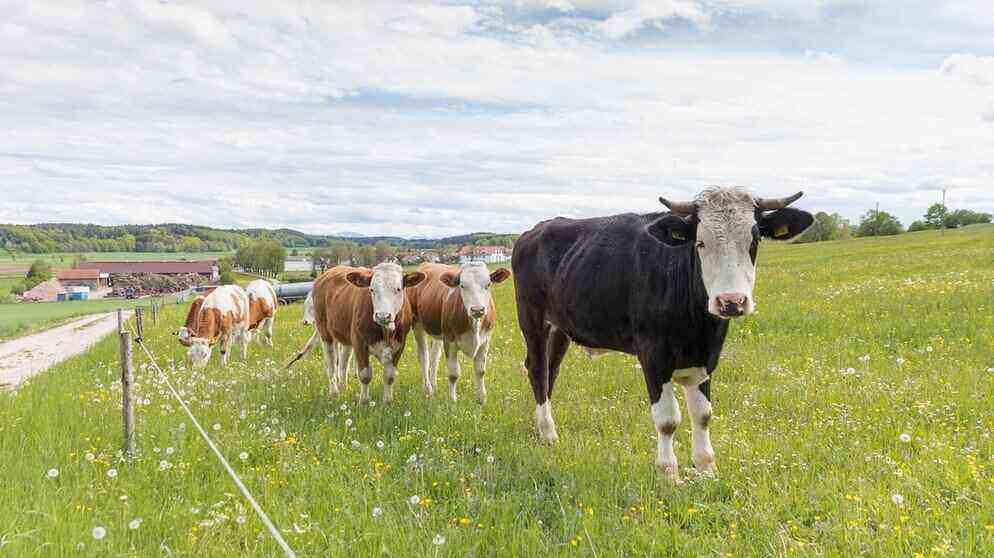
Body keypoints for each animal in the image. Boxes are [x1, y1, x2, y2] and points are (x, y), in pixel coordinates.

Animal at [306, 264, 422, 404]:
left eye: (398, 289)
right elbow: (365, 374)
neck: (385, 332)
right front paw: (364, 402)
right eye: (372, 289)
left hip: (346, 338)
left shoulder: (399, 345)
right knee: (331, 364)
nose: (382, 316)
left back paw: (343, 388)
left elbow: (389, 375)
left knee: (343, 363)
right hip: (325, 332)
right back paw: (334, 392)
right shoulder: (359, 342)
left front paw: (387, 402)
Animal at [406, 262, 512, 402]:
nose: (477, 309)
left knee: (435, 357)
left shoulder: (485, 341)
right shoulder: (449, 340)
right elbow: (453, 373)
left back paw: (434, 385)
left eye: (488, 284)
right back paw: (428, 389)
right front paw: (452, 400)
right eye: (462, 285)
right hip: (417, 324)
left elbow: (480, 371)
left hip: (438, 332)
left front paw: (481, 399)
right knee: (424, 356)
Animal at [512, 188, 812, 482]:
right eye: (700, 243)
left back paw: (540, 426)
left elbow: (702, 414)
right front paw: (668, 472)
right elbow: (667, 419)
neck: (697, 327)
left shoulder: (705, 357)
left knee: (550, 371)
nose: (731, 301)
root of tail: (534, 231)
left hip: (561, 328)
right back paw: (548, 432)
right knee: (537, 369)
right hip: (532, 317)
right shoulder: (653, 355)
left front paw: (706, 467)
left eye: (754, 240)